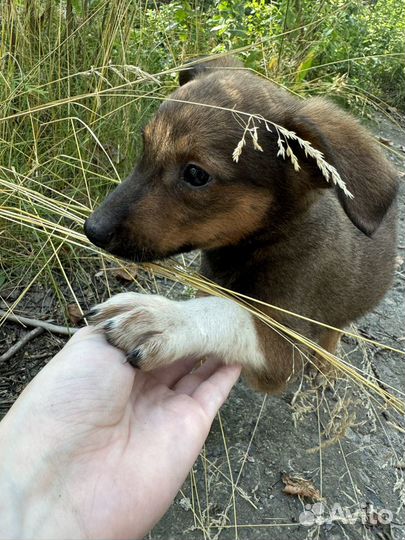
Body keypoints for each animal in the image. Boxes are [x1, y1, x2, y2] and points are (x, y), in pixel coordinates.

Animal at [83, 56, 396, 392]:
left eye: (196, 174)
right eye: (145, 146)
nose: (92, 230)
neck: (264, 242)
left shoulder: (284, 349)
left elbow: (229, 312)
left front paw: (167, 318)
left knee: (336, 326)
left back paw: (325, 365)